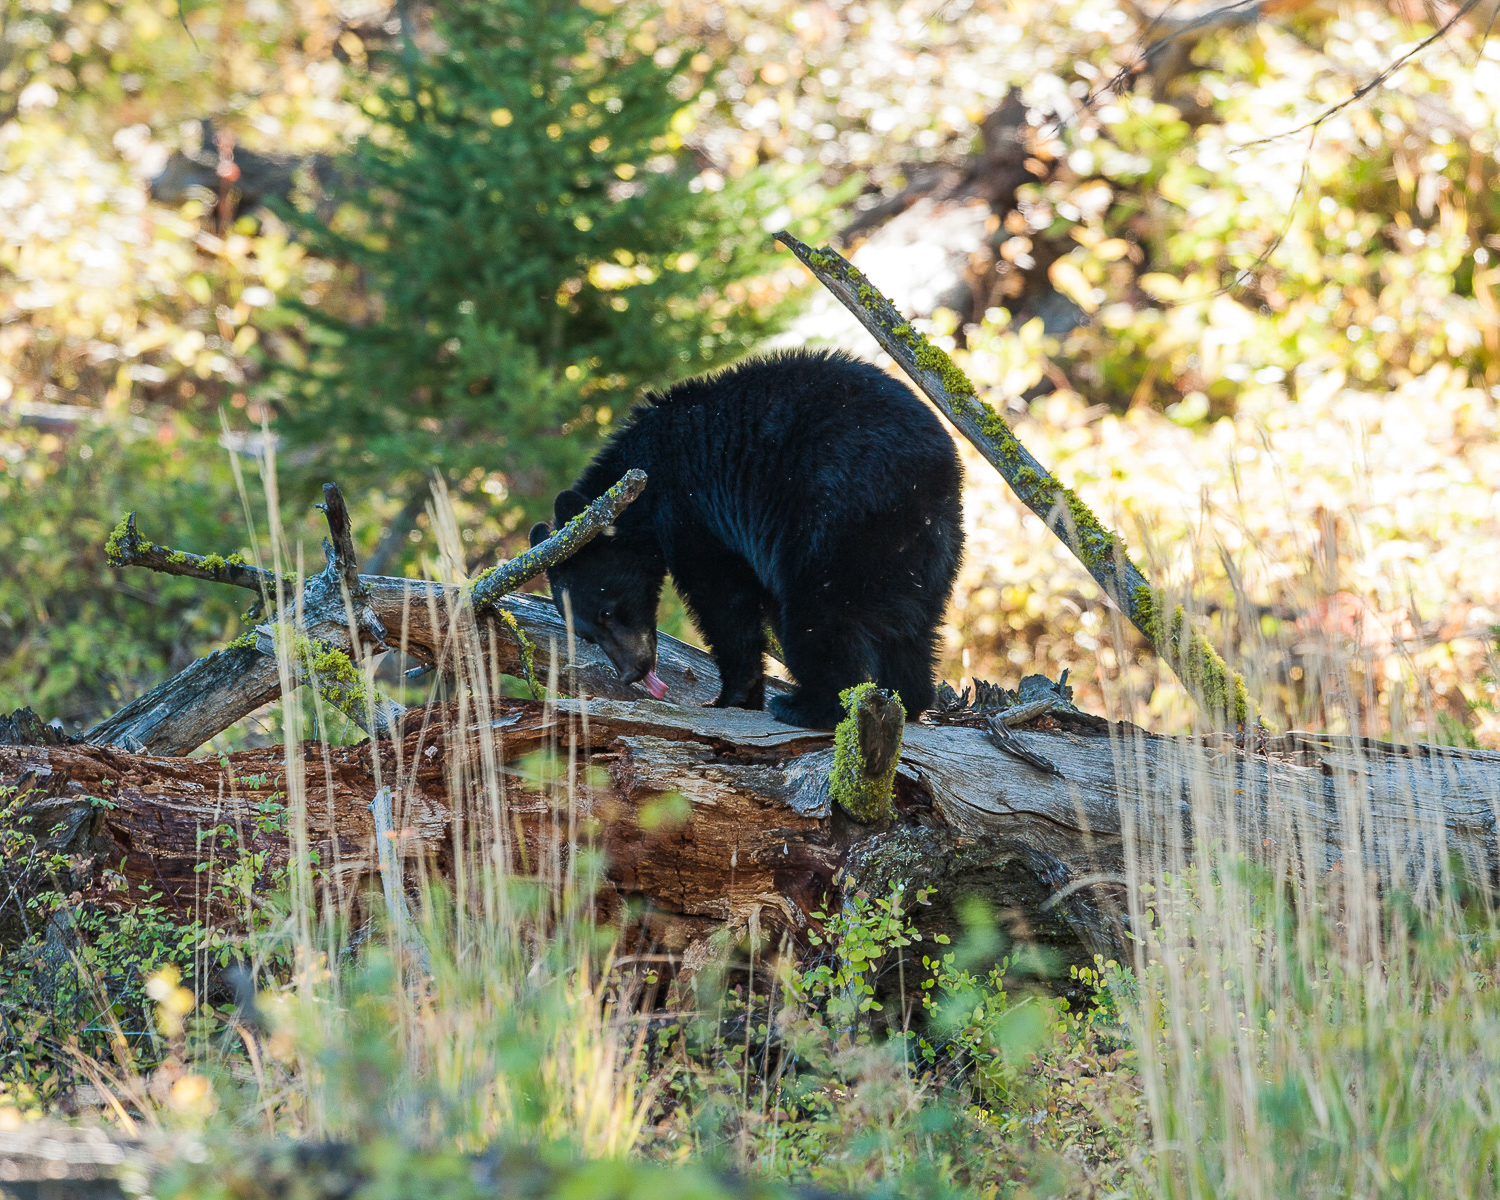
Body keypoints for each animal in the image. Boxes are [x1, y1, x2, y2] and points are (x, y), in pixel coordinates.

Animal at [528, 348, 964, 728]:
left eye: (607, 611)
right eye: (586, 634)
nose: (631, 674)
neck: (647, 476)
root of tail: (930, 472)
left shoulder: (694, 509)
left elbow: (721, 597)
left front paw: (732, 696)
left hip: (837, 519)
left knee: (820, 613)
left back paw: (807, 706)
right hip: (926, 546)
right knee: (913, 627)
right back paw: (906, 696)